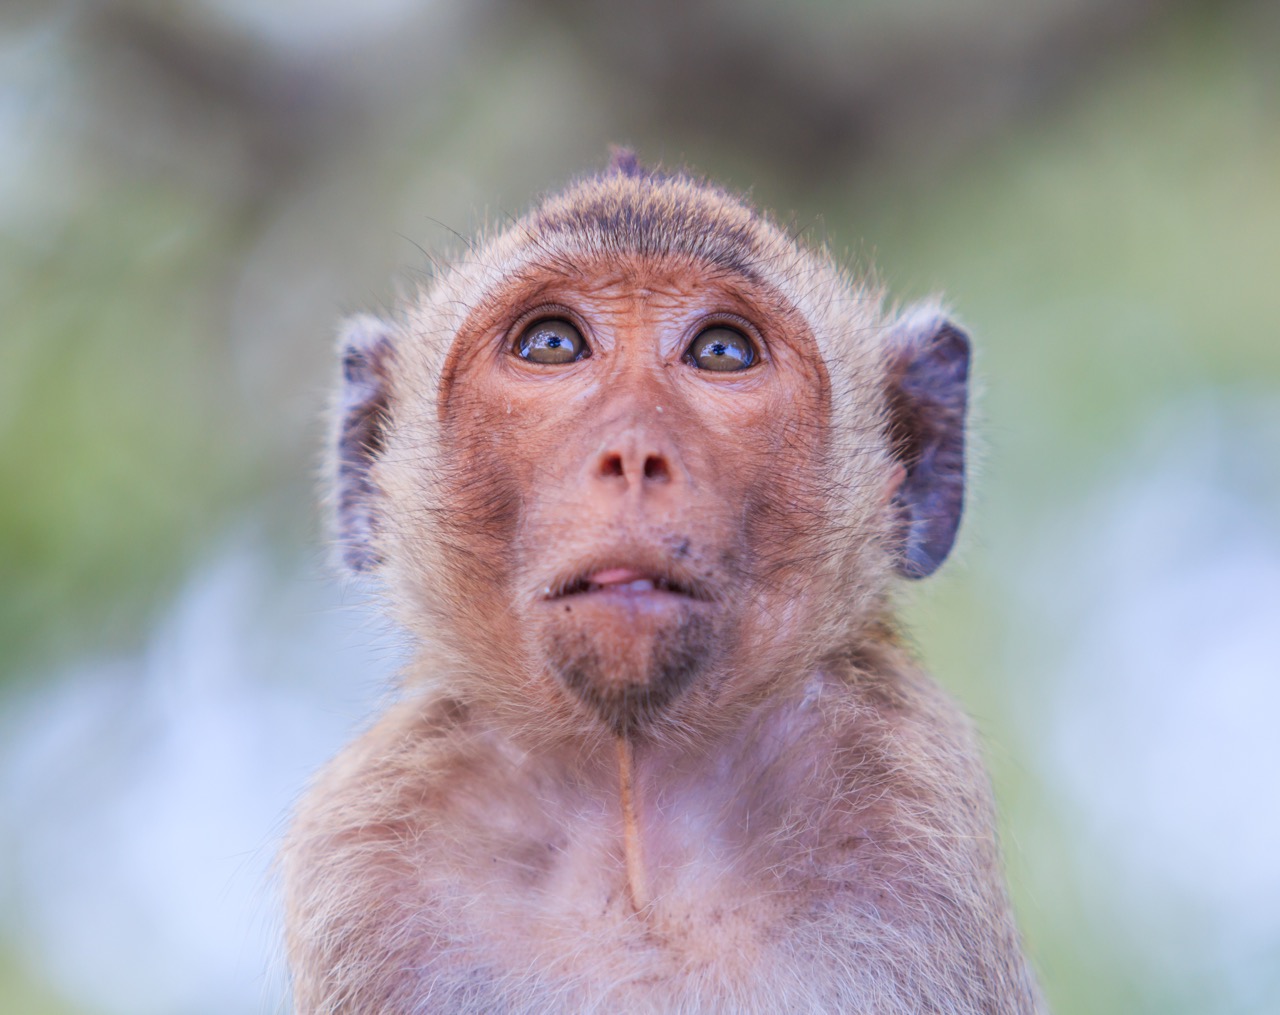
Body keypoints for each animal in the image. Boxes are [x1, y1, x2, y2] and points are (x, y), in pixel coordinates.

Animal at [282, 150, 1039, 1013]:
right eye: (551, 343)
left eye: (721, 352)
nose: (635, 453)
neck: (636, 816)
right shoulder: (370, 857)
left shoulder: (907, 815)